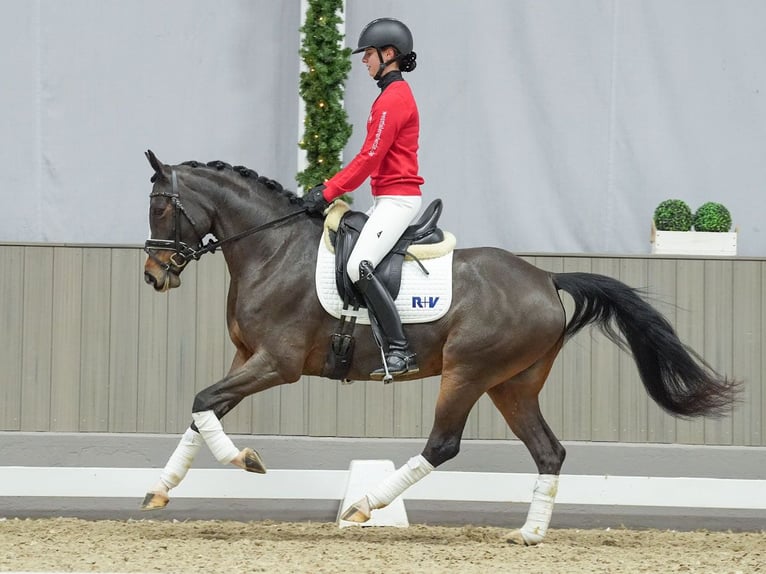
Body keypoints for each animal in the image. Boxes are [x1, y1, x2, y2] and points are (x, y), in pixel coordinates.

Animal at [141, 151, 740, 548]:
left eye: (161, 208)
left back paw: (364, 505)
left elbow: (202, 401)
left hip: (468, 374)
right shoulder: (247, 359)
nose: (153, 276)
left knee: (443, 444)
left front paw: (246, 461)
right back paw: (529, 534)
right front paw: (161, 489)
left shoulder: (276, 364)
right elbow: (203, 412)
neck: (273, 248)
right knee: (548, 451)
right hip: (512, 385)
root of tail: (546, 278)